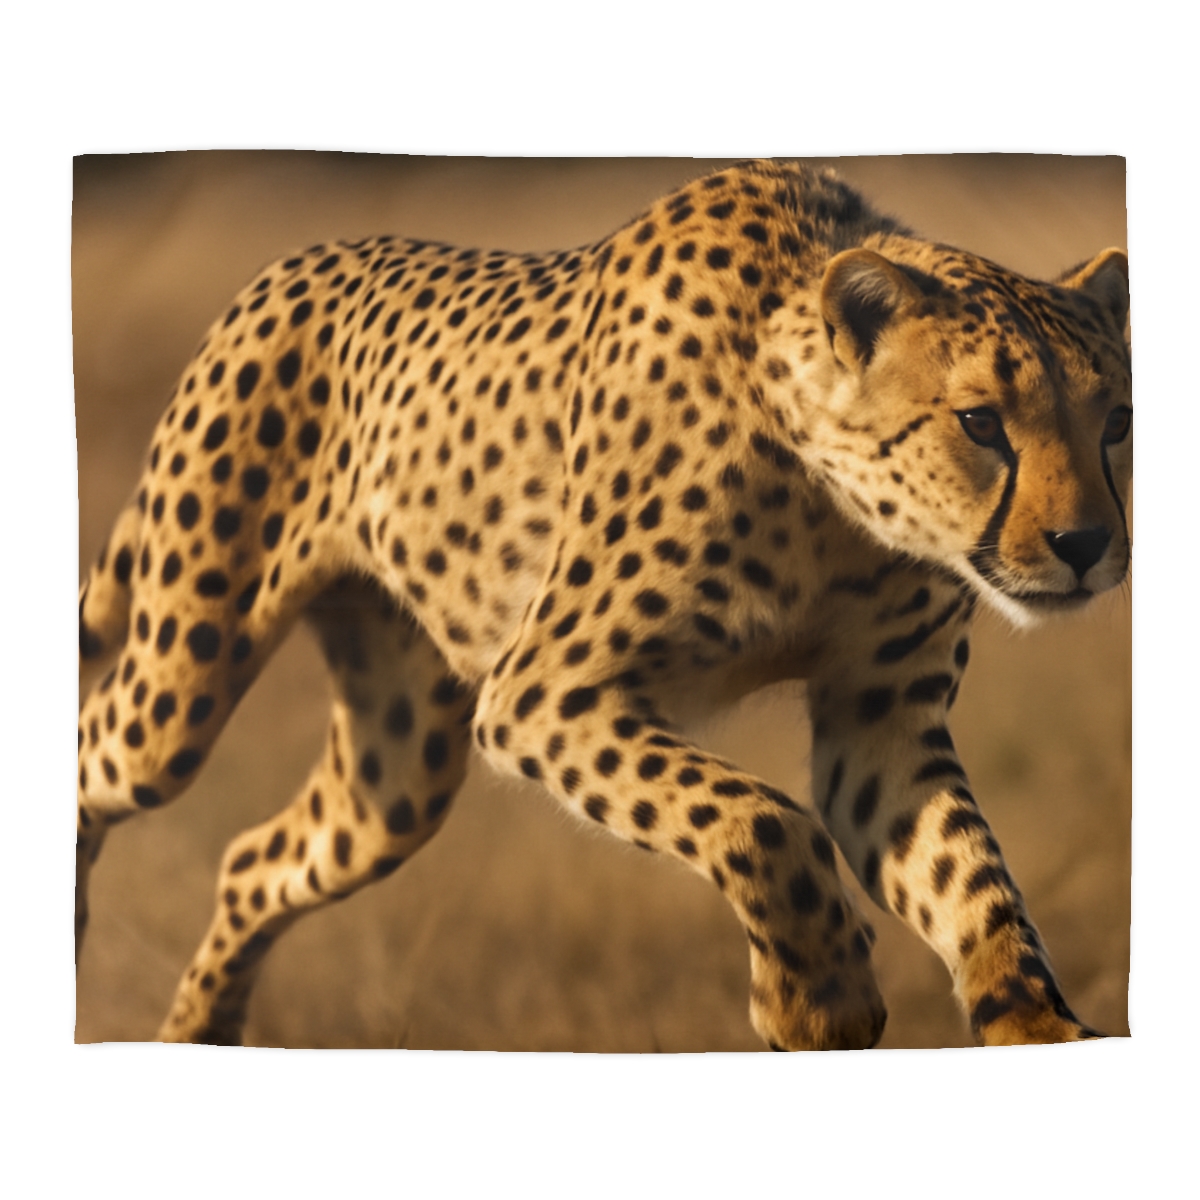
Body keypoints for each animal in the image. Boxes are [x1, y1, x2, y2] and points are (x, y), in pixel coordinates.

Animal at [76, 159, 1132, 1049]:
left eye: (1116, 421)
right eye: (981, 423)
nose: (1087, 547)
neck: (831, 504)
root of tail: (295, 264)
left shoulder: (880, 724)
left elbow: (973, 882)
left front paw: (1034, 1027)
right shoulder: (545, 691)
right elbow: (763, 820)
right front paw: (817, 996)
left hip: (399, 770)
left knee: (256, 859)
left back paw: (202, 1034)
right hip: (184, 676)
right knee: (98, 758)